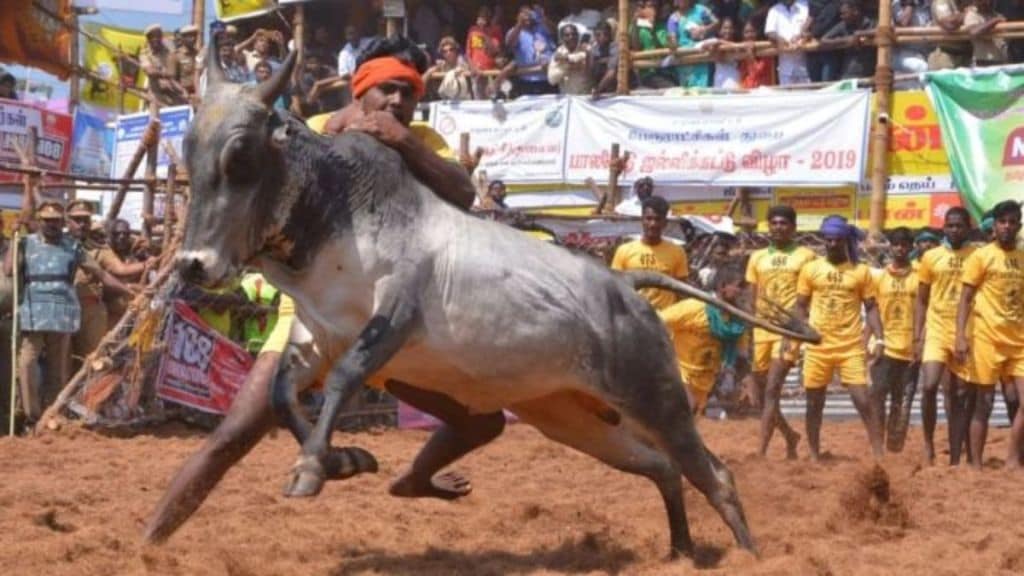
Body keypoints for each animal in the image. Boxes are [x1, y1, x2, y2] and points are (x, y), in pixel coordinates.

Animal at [176, 44, 811, 557]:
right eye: (189, 154)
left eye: (240, 155)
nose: (192, 264)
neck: (335, 209)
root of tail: (623, 289)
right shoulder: (316, 333)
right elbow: (284, 394)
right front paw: (344, 460)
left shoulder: (394, 314)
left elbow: (343, 379)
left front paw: (313, 467)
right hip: (569, 418)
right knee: (662, 469)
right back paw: (680, 552)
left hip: (658, 400)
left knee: (715, 476)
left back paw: (753, 557)